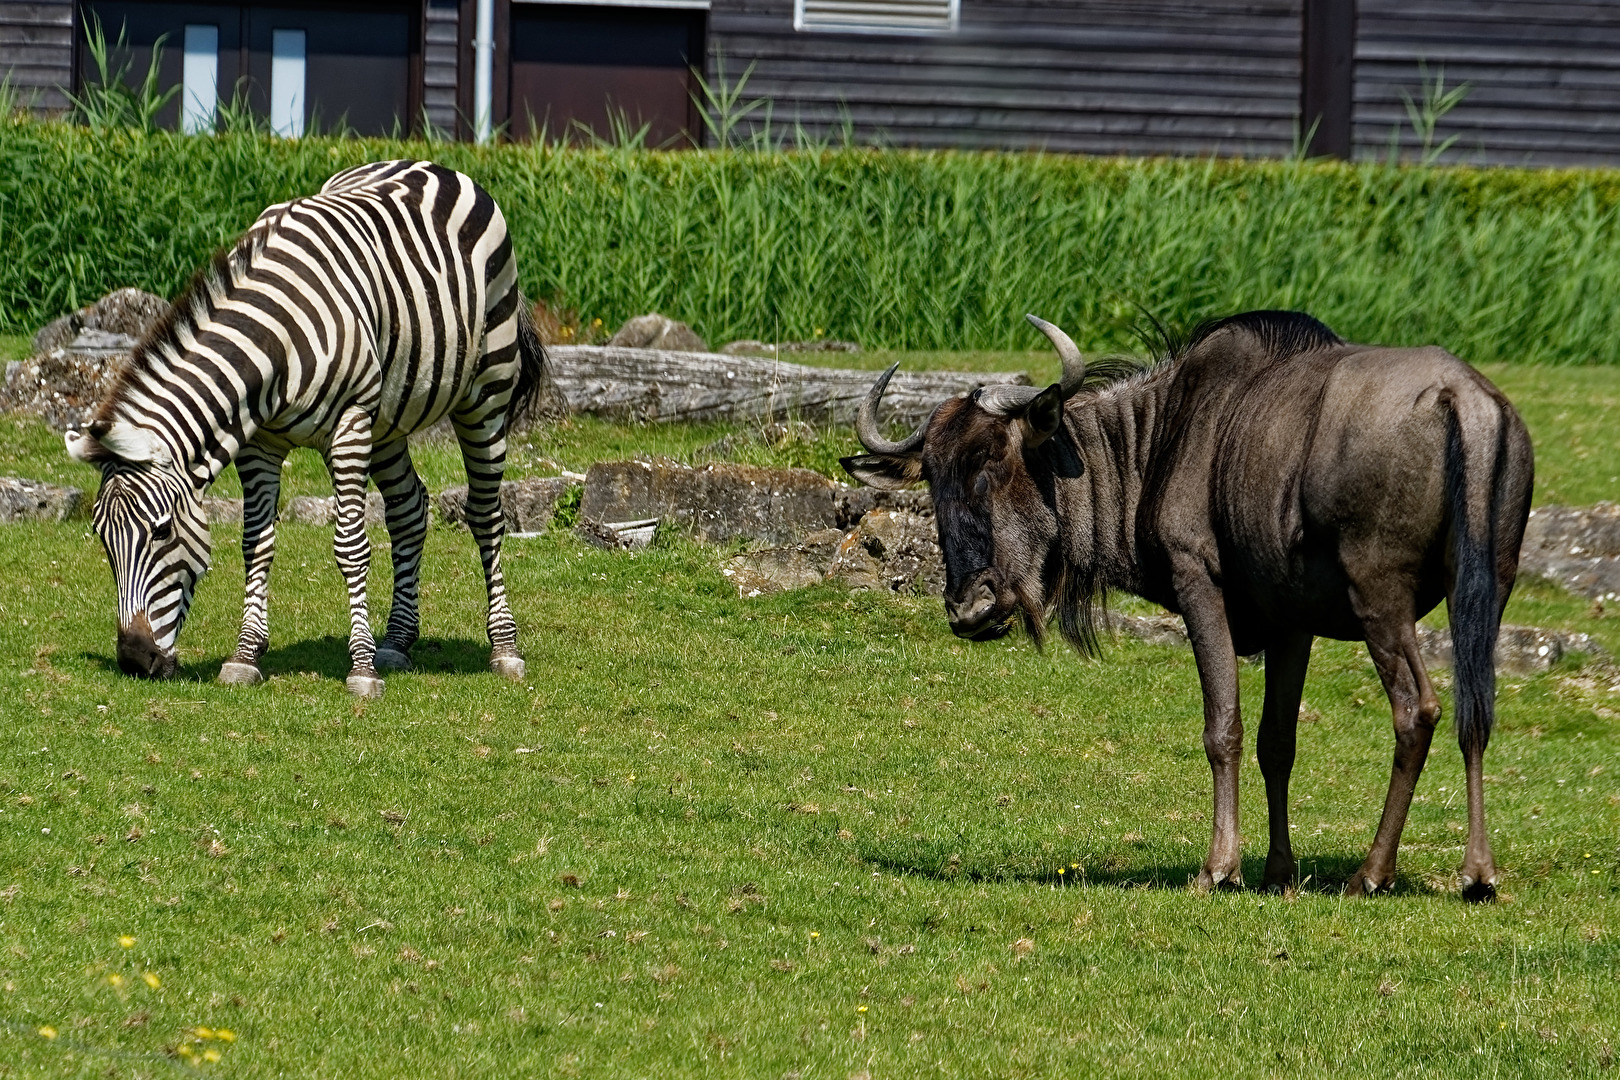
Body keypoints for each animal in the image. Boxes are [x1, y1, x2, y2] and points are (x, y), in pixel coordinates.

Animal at [66, 160, 547, 702]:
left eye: (162, 531)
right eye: (101, 538)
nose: (133, 659)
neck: (275, 342)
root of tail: (429, 164)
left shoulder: (350, 424)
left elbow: (351, 547)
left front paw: (361, 669)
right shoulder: (258, 444)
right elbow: (256, 544)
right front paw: (245, 655)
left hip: (486, 390)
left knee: (485, 514)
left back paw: (503, 648)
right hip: (388, 418)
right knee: (408, 508)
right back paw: (398, 640)